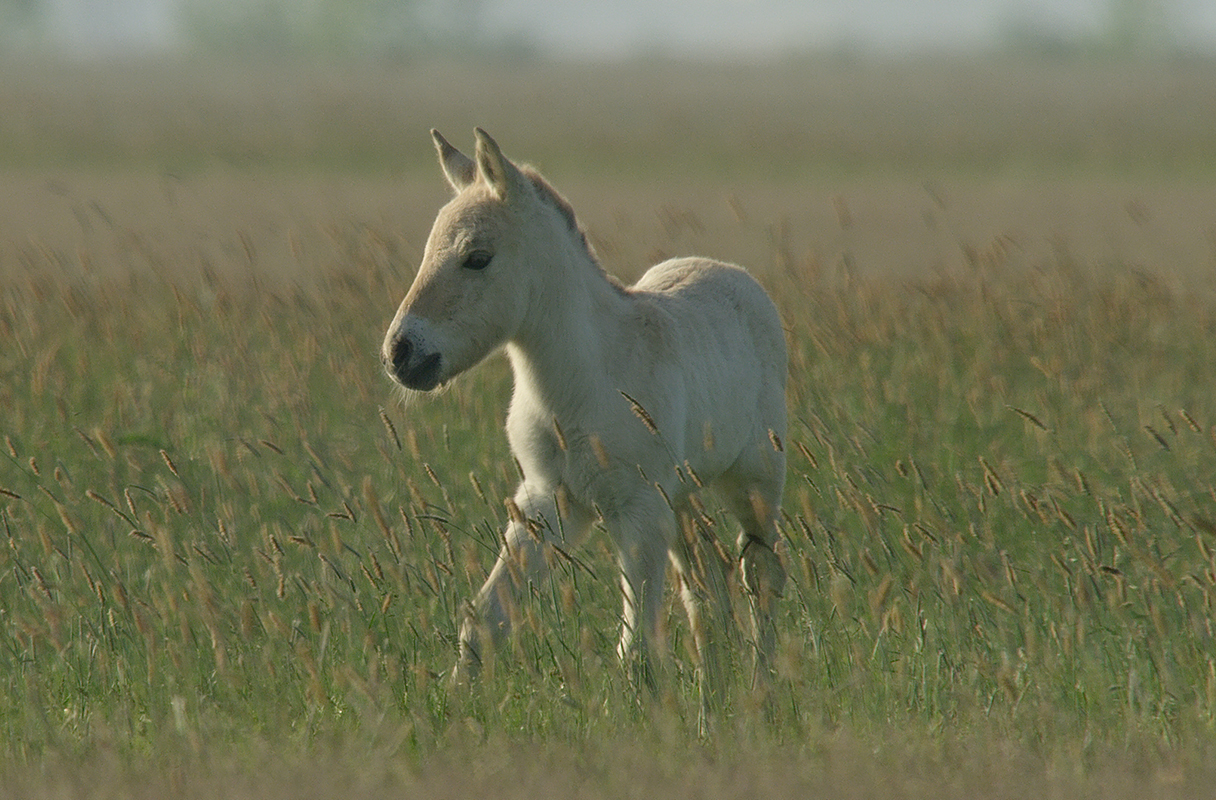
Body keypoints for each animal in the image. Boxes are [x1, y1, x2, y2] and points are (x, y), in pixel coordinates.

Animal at [384, 127, 792, 690]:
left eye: (477, 257)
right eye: (428, 250)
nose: (399, 353)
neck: (581, 386)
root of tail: (735, 274)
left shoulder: (637, 511)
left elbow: (636, 648)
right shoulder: (546, 502)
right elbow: (485, 619)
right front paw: (454, 700)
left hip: (754, 477)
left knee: (761, 572)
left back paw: (762, 686)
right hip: (681, 495)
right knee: (707, 578)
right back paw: (716, 684)